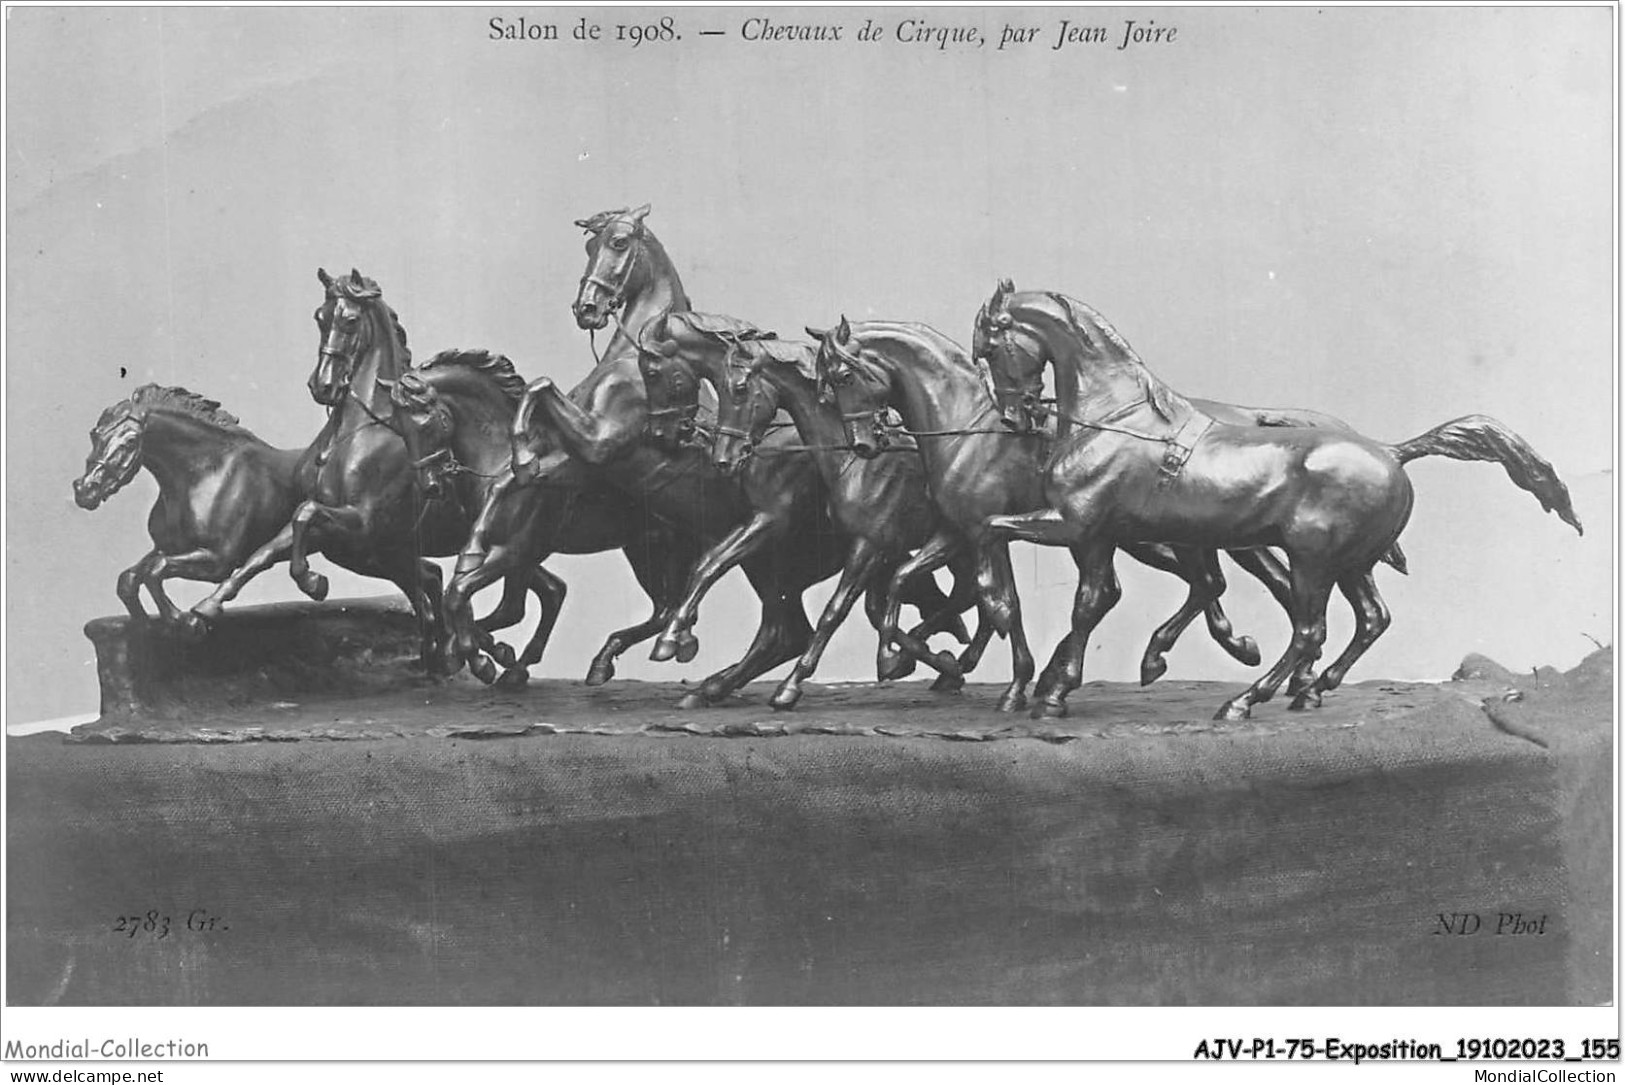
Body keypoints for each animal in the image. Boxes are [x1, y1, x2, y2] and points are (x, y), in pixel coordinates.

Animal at [73, 388, 303, 626]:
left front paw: (181, 619)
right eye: (94, 434)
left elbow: (156, 569)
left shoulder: (219, 561)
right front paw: (145, 623)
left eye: (131, 441)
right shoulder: (166, 548)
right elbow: (129, 579)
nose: (85, 489)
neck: (209, 473)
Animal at [394, 352, 705, 682]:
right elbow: (505, 605)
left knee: (671, 608)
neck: (498, 456)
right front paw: (477, 653)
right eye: (400, 429)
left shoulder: (513, 550)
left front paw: (480, 661)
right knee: (664, 609)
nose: (430, 485)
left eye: (428, 423)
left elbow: (461, 594)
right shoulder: (520, 555)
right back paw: (600, 661)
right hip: (643, 549)